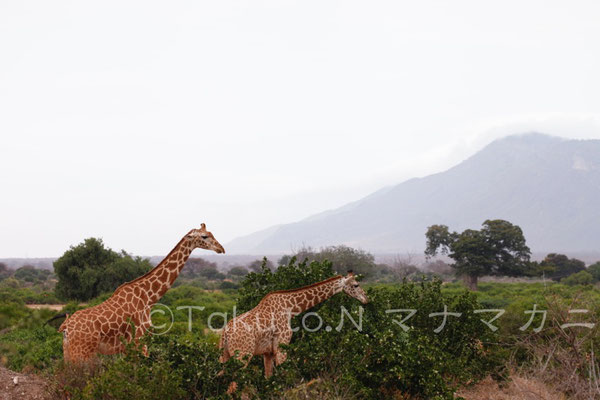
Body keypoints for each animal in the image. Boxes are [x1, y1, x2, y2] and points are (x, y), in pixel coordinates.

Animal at [59, 225, 225, 362]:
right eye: (204, 236)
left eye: (212, 233)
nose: (221, 249)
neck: (148, 297)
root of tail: (66, 328)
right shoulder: (140, 340)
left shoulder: (129, 347)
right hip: (82, 351)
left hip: (68, 352)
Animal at [219, 272, 368, 378]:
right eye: (356, 285)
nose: (366, 299)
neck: (290, 308)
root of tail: (225, 333)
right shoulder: (282, 345)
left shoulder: (268, 352)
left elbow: (268, 378)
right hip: (243, 355)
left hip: (224, 355)